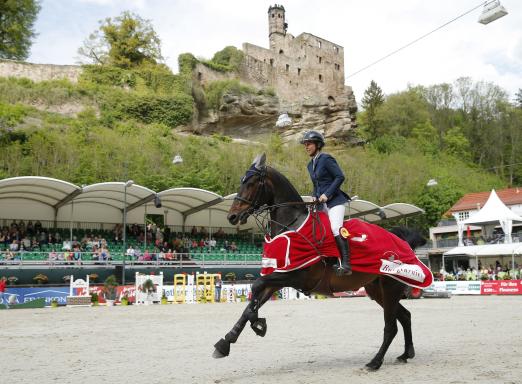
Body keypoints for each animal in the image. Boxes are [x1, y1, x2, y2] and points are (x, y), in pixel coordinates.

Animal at [212, 154, 426, 372]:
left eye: (252, 183)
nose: (232, 216)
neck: (293, 225)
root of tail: (403, 242)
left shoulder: (294, 275)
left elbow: (255, 286)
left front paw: (257, 324)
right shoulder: (278, 278)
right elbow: (251, 305)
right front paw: (227, 341)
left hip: (390, 288)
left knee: (391, 326)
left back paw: (375, 362)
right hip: (377, 290)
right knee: (405, 316)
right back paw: (406, 354)